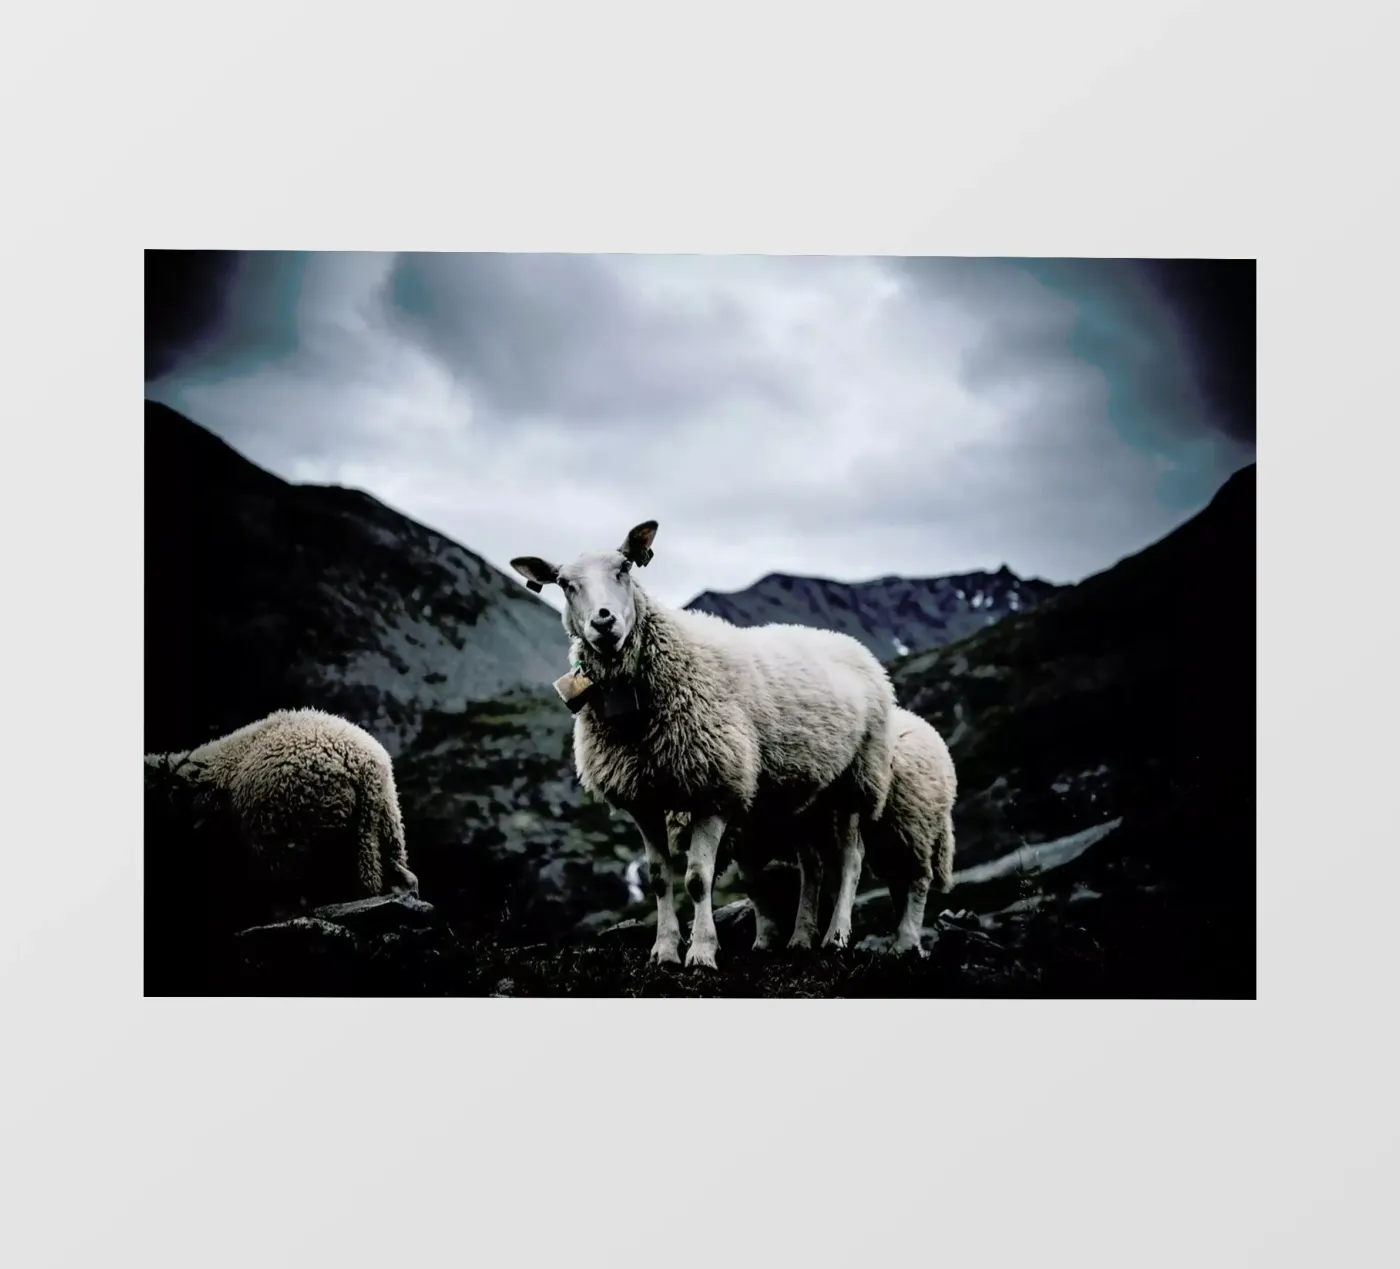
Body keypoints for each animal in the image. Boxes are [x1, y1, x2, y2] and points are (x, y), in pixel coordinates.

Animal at [511, 519, 896, 970]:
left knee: (851, 861)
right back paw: (799, 938)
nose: (603, 623)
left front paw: (701, 952)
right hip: (799, 794)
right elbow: (659, 878)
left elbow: (698, 878)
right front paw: (663, 950)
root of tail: (851, 644)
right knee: (813, 865)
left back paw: (835, 936)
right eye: (565, 584)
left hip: (858, 780)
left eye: (624, 568)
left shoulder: (714, 788)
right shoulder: (643, 799)